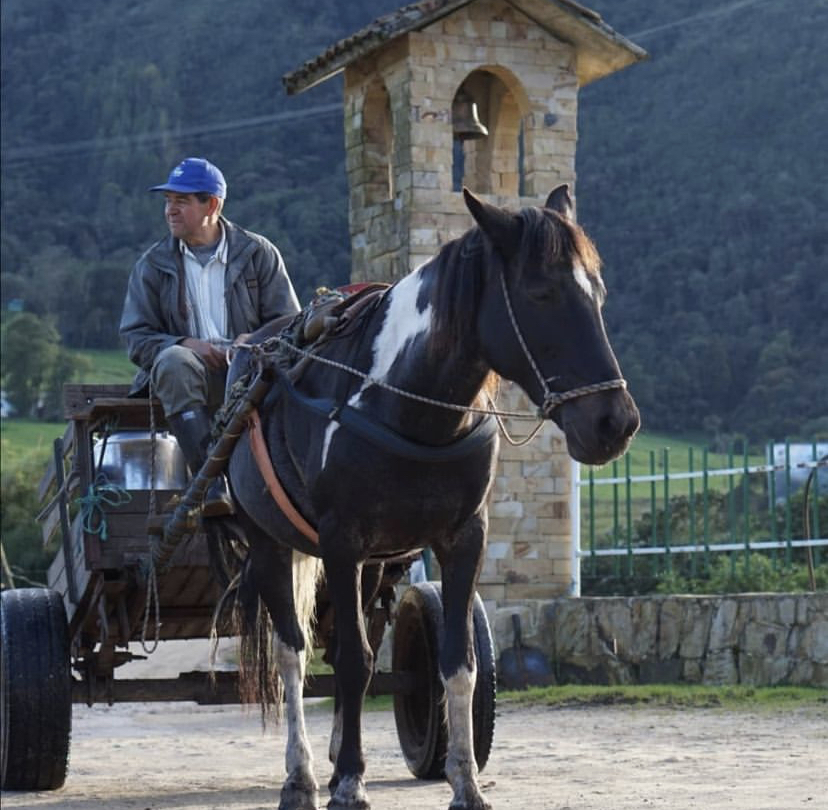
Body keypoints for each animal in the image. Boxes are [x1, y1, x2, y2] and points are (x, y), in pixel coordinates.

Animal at [220, 185, 640, 808]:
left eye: (598, 293)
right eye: (541, 293)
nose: (615, 423)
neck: (401, 401)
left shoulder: (463, 540)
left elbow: (454, 662)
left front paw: (463, 780)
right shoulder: (341, 542)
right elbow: (348, 664)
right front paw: (350, 782)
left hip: (372, 564)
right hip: (271, 543)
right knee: (291, 655)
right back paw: (302, 775)